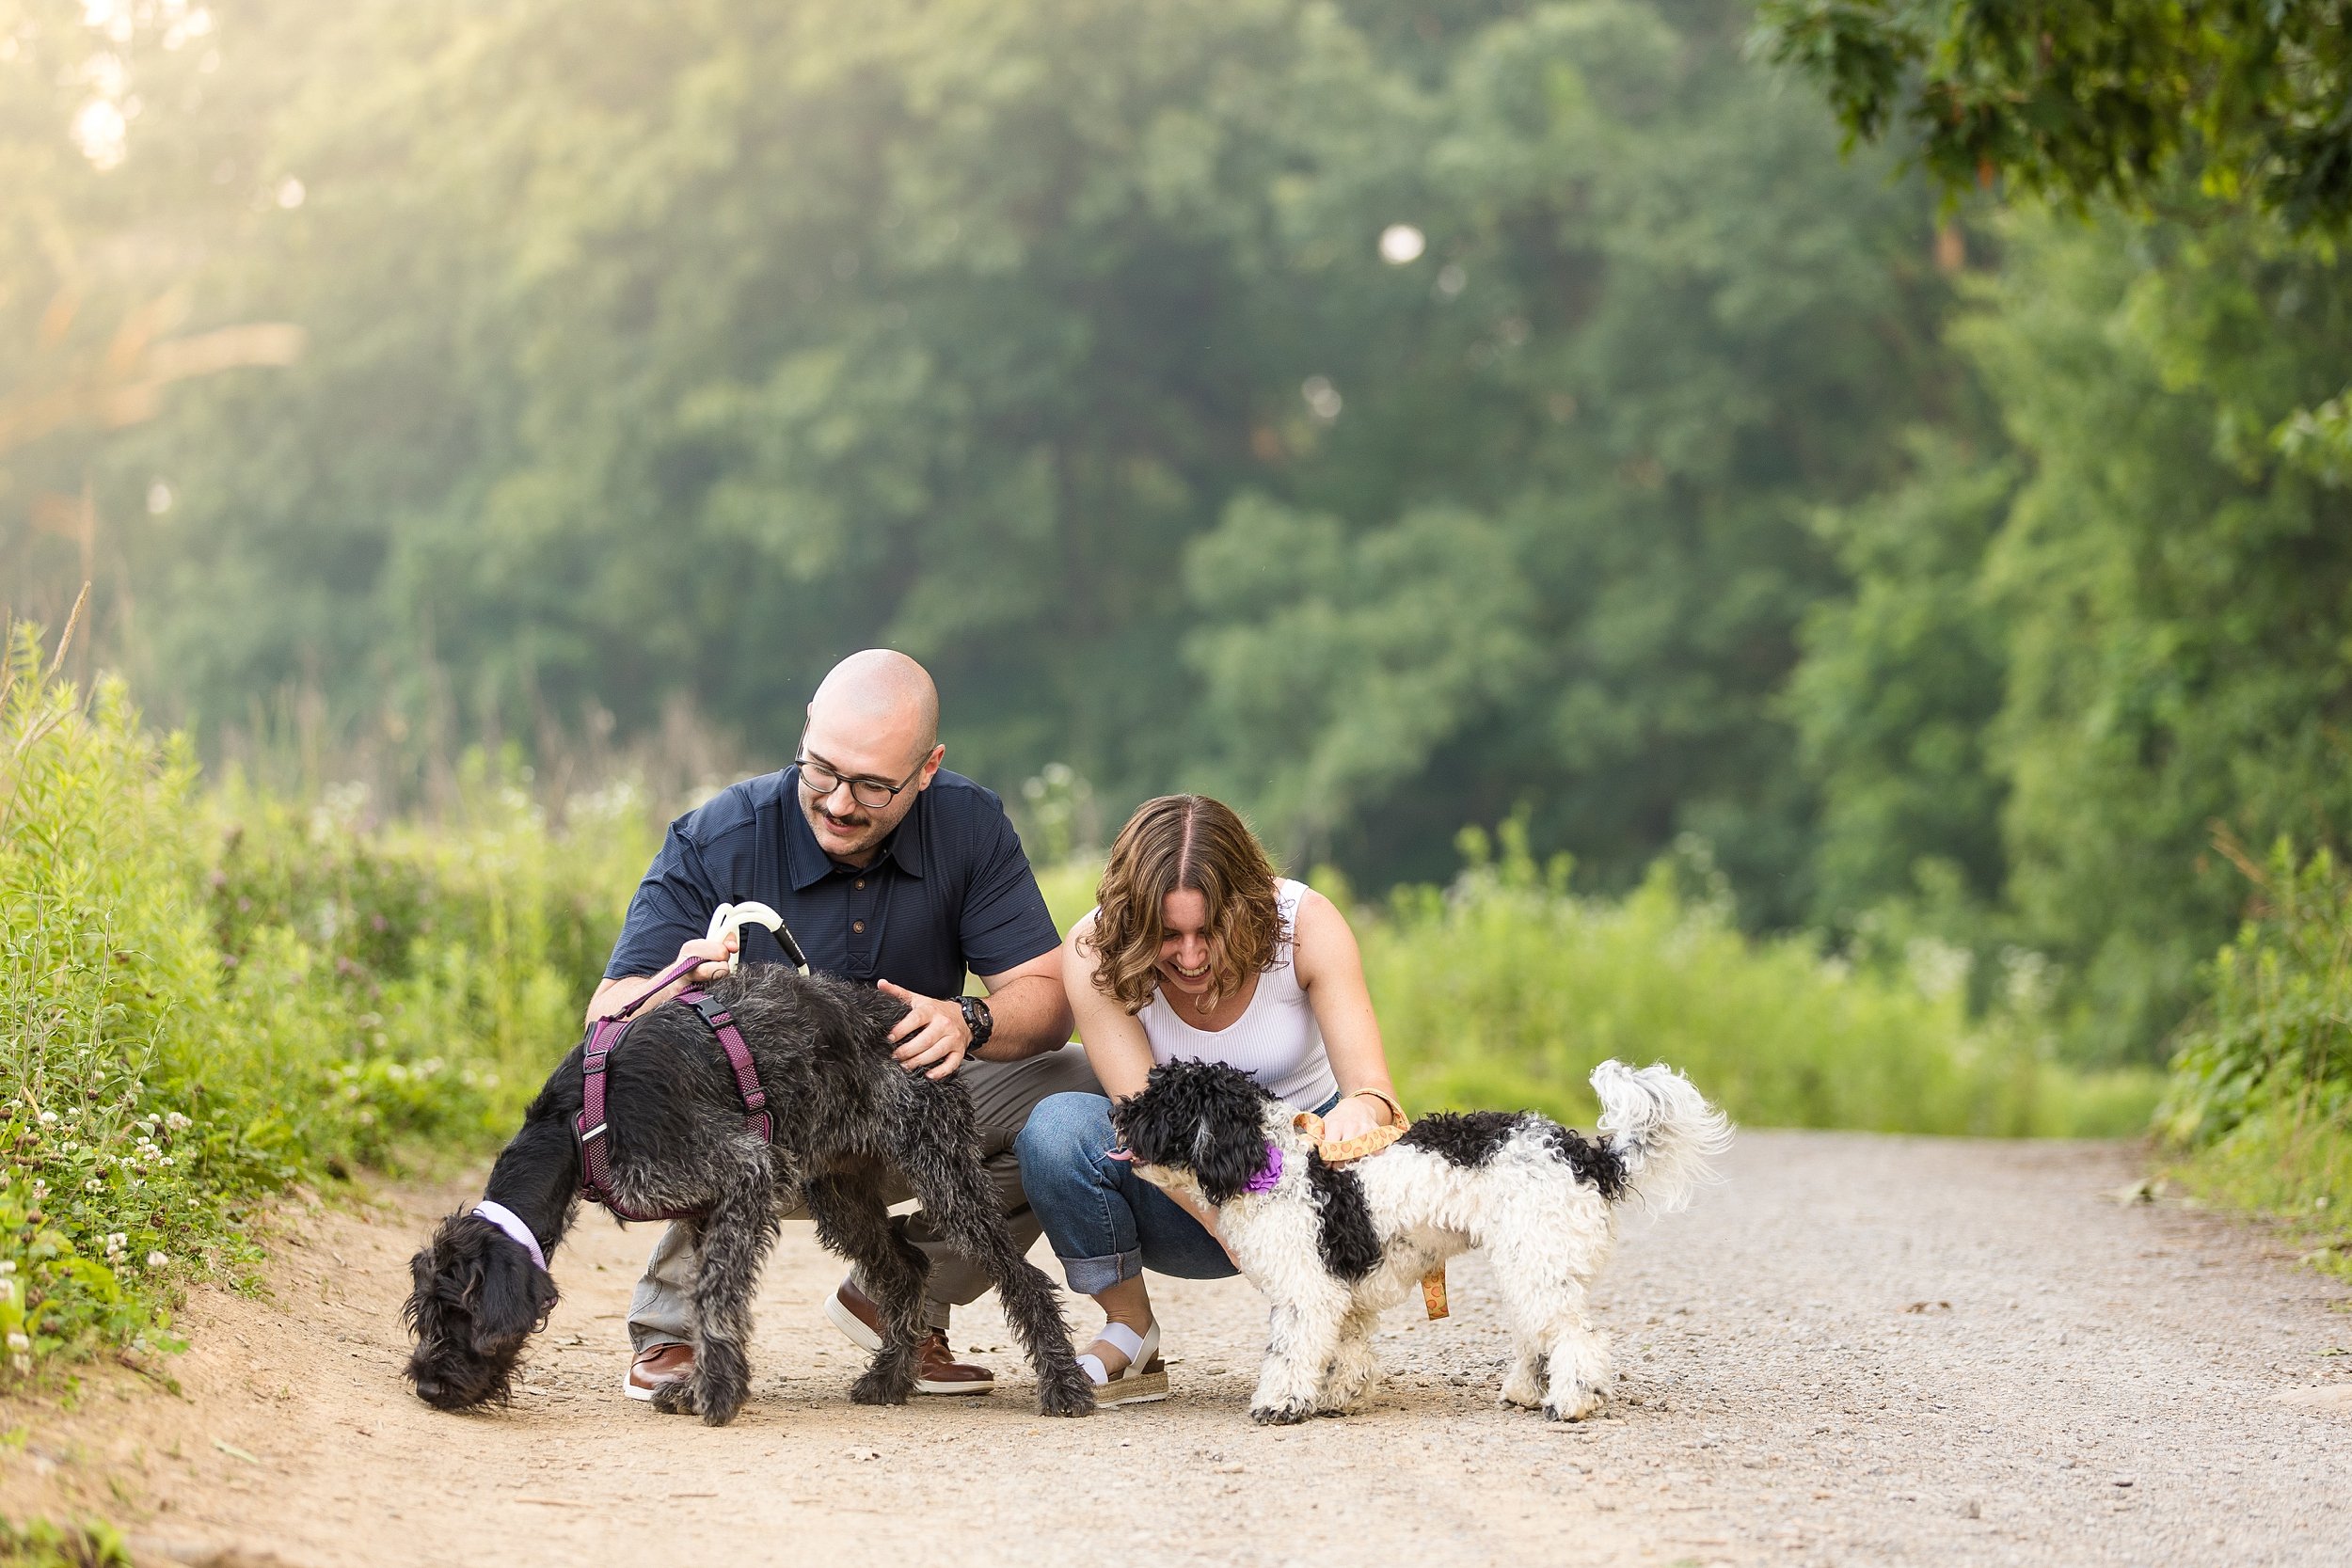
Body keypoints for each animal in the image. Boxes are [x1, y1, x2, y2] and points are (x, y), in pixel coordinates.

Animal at [400, 963, 1096, 1429]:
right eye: (425, 1316)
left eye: (459, 1313)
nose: (427, 1387)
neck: (576, 1123)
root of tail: (917, 1017)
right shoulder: (707, 1207)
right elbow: (706, 1298)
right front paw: (698, 1383)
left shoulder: (746, 1172)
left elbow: (715, 1297)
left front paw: (713, 1394)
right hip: (840, 1194)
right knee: (906, 1269)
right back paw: (887, 1379)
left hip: (944, 1174)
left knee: (1022, 1276)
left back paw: (1064, 1385)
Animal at [1101, 1062, 1731, 1429]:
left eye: (1165, 1102)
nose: (1115, 1112)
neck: (1269, 1159)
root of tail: (1589, 1155)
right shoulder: (1341, 1294)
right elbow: (1348, 1353)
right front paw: (1341, 1397)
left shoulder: (1306, 1292)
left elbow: (1290, 1354)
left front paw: (1281, 1404)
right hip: (1530, 1261)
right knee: (1543, 1333)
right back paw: (1527, 1391)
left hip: (1537, 1258)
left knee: (1576, 1337)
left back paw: (1570, 1402)